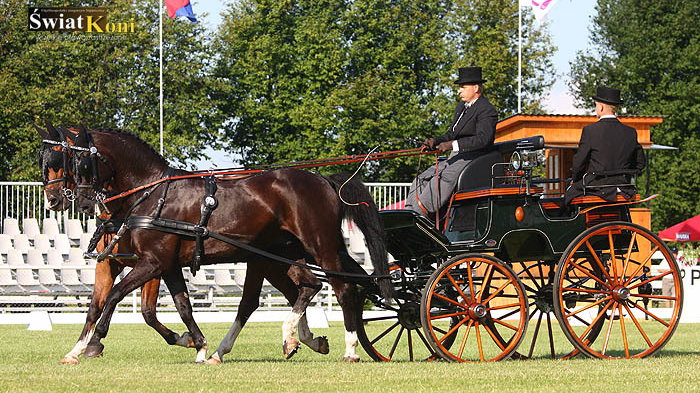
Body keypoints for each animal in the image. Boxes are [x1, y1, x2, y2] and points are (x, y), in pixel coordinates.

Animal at [66, 126, 394, 362]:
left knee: (343, 288)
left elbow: (114, 295)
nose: (83, 203)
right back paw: (287, 339)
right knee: (306, 287)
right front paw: (199, 346)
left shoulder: (152, 262)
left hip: (321, 247)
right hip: (285, 254)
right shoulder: (167, 266)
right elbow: (183, 306)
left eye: (82, 163)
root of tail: (323, 180)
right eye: (71, 164)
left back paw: (349, 348)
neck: (156, 194)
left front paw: (94, 343)